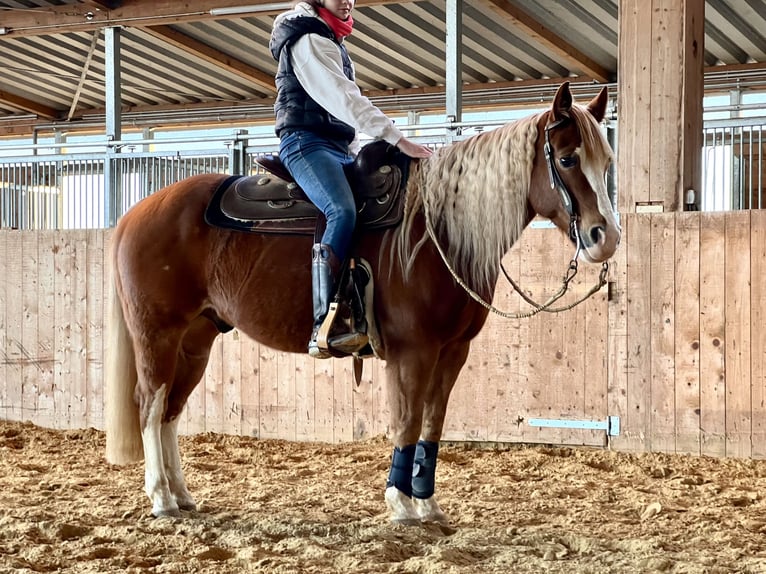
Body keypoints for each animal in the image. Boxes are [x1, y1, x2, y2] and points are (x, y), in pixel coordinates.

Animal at [105, 82, 620, 528]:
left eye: (607, 161)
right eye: (568, 158)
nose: (606, 237)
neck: (435, 229)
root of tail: (134, 214)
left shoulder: (454, 351)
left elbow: (433, 422)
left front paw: (427, 503)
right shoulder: (413, 352)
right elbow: (406, 421)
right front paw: (401, 504)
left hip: (197, 339)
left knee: (171, 411)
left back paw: (181, 495)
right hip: (157, 334)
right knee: (150, 404)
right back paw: (160, 498)